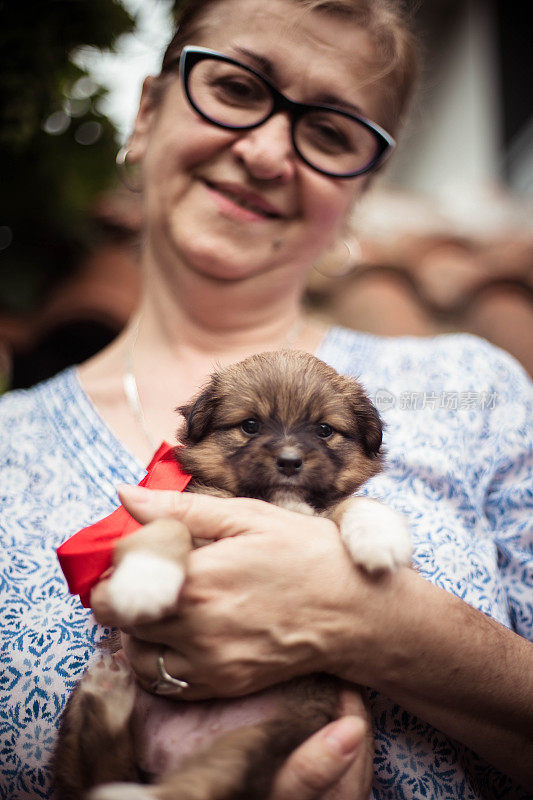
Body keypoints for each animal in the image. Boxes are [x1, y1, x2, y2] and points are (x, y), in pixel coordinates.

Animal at [54, 352, 410, 800]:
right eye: (250, 425)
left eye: (324, 430)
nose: (289, 462)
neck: (273, 502)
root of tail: (169, 753)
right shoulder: (185, 507)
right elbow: (168, 527)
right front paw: (145, 580)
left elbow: (355, 504)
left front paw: (381, 536)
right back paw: (109, 696)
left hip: (270, 733)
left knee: (206, 780)